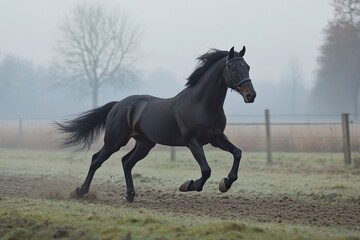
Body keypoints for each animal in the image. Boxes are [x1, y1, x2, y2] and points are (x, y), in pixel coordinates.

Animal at [56, 46, 256, 202]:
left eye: (247, 67)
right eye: (232, 68)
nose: (251, 95)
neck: (202, 104)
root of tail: (119, 104)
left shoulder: (216, 138)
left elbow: (237, 153)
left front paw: (226, 183)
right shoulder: (192, 142)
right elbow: (206, 170)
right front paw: (188, 185)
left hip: (144, 144)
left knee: (126, 162)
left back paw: (130, 195)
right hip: (114, 142)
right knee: (96, 160)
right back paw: (80, 191)